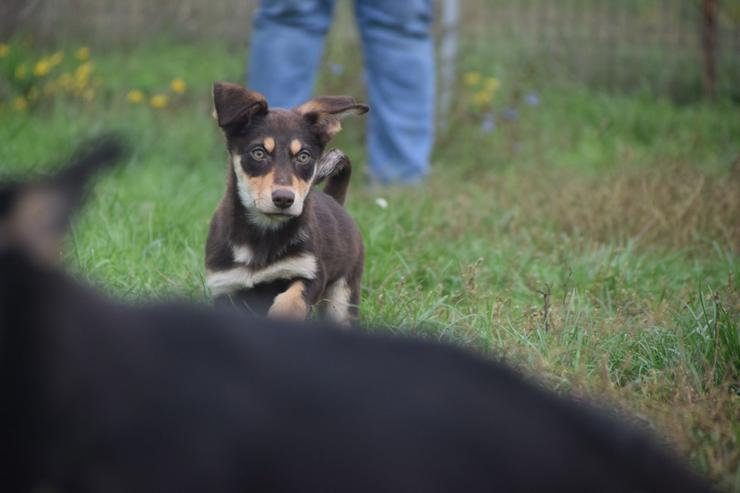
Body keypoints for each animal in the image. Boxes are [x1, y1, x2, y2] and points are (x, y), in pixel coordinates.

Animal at [204, 82, 368, 324]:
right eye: (258, 153)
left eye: (303, 156)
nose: (284, 199)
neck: (262, 236)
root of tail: (336, 202)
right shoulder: (225, 285)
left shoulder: (311, 272)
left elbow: (290, 301)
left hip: (342, 297)